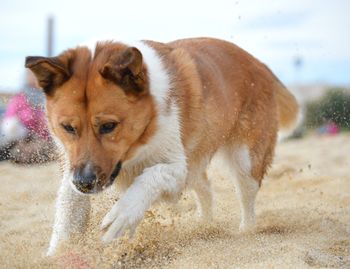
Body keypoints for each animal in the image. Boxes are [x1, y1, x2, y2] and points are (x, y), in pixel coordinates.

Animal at [25, 36, 298, 254]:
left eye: (109, 126)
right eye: (68, 128)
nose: (84, 183)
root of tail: (259, 64)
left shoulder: (175, 168)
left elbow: (150, 177)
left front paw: (123, 214)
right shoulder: (73, 169)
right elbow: (67, 217)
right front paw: (55, 256)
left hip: (244, 160)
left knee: (246, 196)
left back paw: (245, 231)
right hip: (195, 165)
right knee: (206, 190)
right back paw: (204, 227)